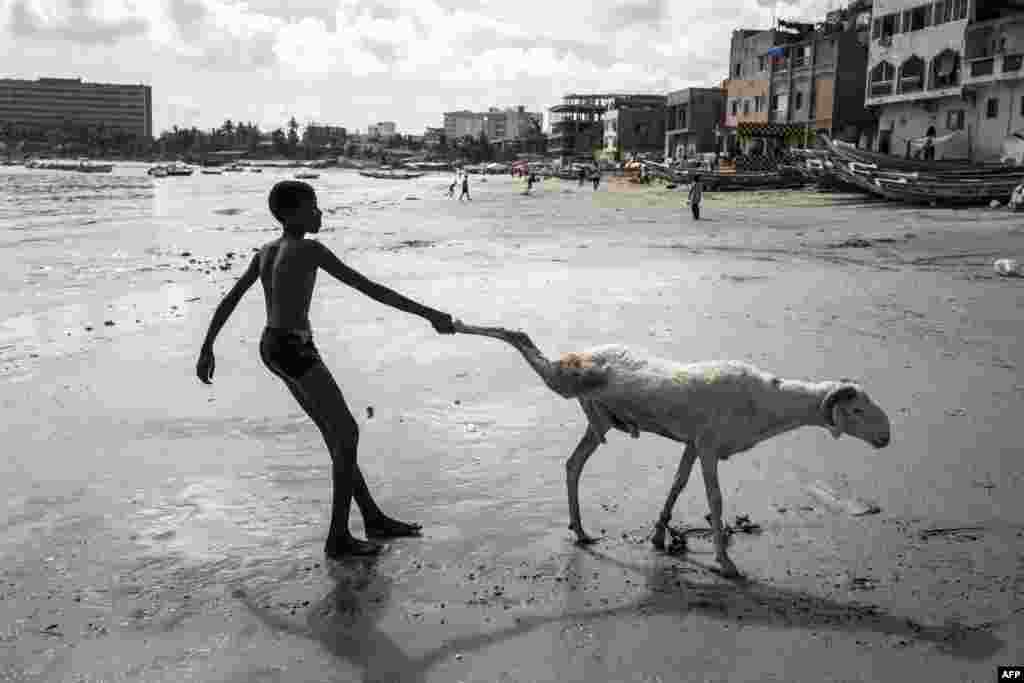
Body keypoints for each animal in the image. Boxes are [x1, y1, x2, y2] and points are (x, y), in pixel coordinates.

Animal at [452, 321, 892, 577]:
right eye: (855, 409)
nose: (887, 438)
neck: (768, 403)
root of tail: (582, 353)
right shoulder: (709, 445)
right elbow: (714, 499)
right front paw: (726, 563)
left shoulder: (693, 443)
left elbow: (678, 483)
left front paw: (660, 535)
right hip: (563, 378)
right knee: (520, 337)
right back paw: (450, 322)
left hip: (598, 421)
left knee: (572, 464)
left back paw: (580, 531)